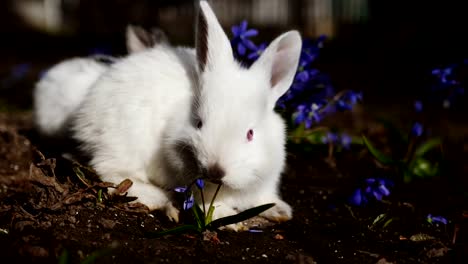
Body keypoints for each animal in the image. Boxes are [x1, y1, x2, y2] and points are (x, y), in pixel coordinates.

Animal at [72, 0, 302, 229]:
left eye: (250, 134)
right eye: (199, 123)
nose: (215, 171)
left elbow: (263, 198)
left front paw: (280, 210)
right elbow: (209, 203)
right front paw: (227, 219)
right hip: (122, 144)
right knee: (111, 173)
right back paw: (159, 198)